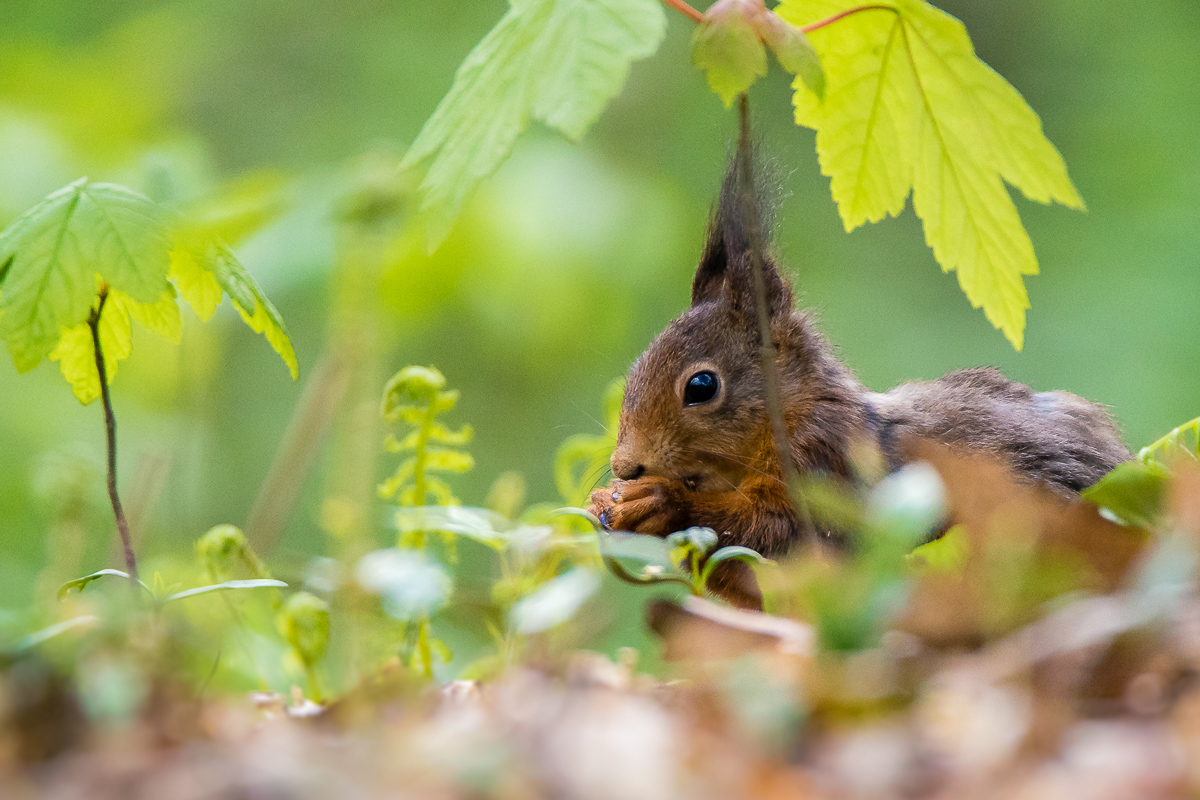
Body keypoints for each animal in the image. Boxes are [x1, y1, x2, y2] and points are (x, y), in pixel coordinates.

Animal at [590, 143, 1132, 568]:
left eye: (701, 386)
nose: (625, 466)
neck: (791, 413)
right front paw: (608, 501)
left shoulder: (829, 461)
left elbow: (784, 533)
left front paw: (659, 503)